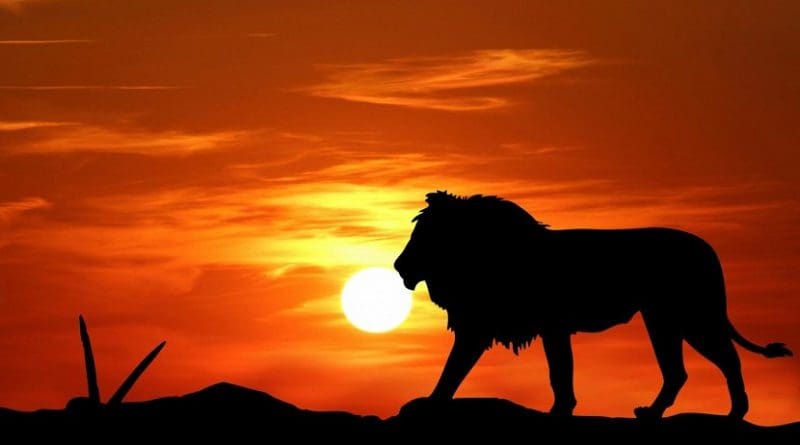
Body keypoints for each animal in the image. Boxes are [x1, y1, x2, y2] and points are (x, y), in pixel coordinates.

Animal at [394, 191, 792, 419]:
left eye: (424, 235)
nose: (399, 266)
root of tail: (708, 250)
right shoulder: (530, 327)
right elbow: (461, 368)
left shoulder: (525, 325)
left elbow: (460, 368)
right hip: (663, 320)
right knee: (679, 371)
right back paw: (652, 413)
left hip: (691, 317)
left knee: (727, 359)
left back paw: (736, 413)